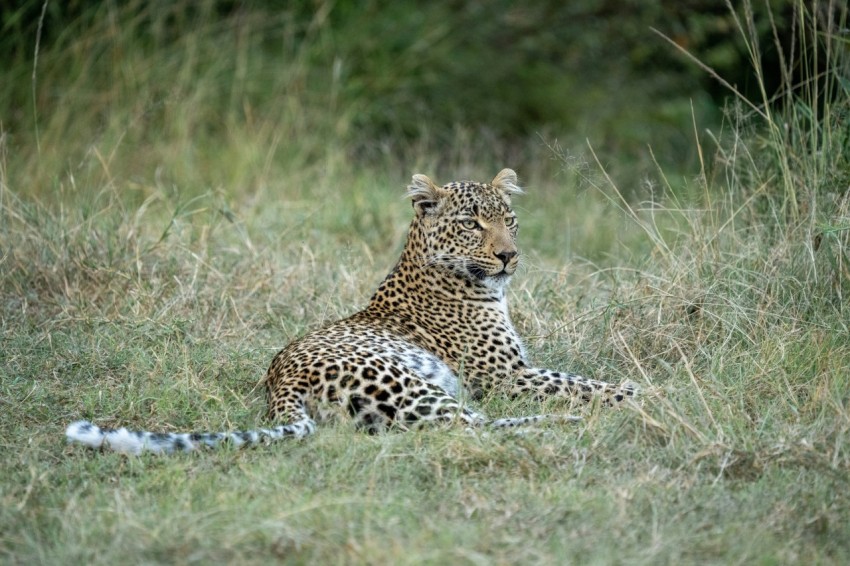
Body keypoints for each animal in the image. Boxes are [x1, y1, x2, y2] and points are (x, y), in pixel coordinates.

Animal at [66, 169, 636, 458]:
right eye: (472, 224)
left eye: (509, 219)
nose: (508, 256)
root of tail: (279, 383)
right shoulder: (505, 376)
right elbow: (583, 383)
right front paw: (640, 394)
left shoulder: (513, 374)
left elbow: (579, 379)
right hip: (409, 383)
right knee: (470, 429)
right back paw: (564, 428)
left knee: (472, 425)